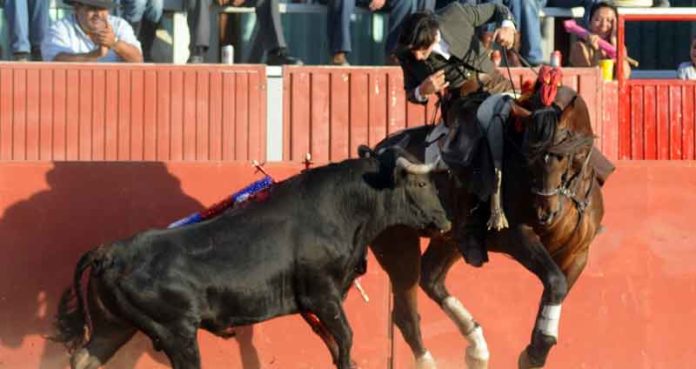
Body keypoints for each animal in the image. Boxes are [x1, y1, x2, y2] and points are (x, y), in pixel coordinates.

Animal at [53, 150, 452, 368]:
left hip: (113, 325)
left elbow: (337, 345)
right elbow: (346, 339)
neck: (343, 206)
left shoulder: (318, 304)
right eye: (420, 184)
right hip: (176, 331)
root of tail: (111, 251)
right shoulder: (322, 295)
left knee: (84, 358)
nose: (445, 221)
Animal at [362, 87, 608, 368]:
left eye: (564, 155)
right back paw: (431, 359)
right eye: (529, 157)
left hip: (449, 240)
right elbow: (555, 282)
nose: (545, 213)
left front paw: (536, 347)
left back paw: (477, 349)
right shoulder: (516, 237)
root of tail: (375, 152)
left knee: (431, 278)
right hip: (396, 244)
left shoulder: (578, 252)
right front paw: (534, 353)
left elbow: (557, 289)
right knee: (405, 310)